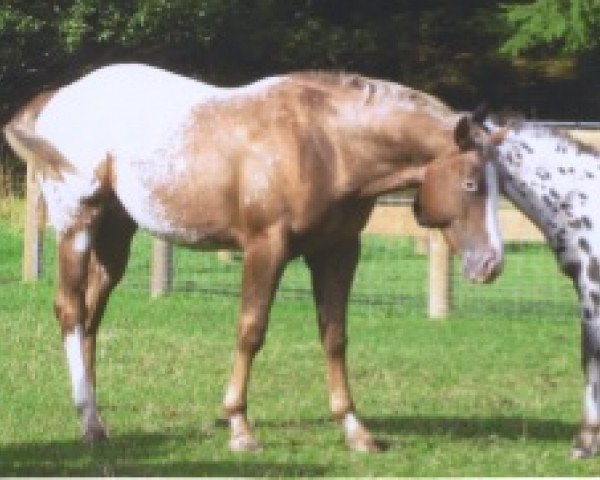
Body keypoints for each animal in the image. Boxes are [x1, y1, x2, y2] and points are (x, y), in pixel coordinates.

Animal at [4, 62, 504, 450]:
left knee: (91, 316)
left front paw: (355, 429)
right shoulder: (267, 247)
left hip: (115, 238)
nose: (491, 265)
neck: (324, 143)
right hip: (77, 226)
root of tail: (58, 98)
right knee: (71, 312)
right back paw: (89, 422)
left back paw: (93, 417)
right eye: (471, 184)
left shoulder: (338, 252)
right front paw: (240, 427)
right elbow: (251, 331)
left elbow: (335, 337)